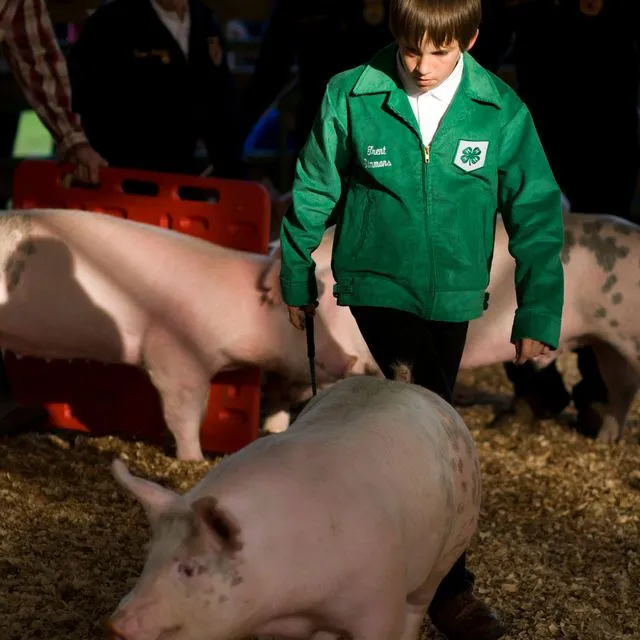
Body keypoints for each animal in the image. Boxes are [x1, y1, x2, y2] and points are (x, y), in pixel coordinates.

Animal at [109, 364, 480, 640]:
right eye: (149, 556)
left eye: (188, 568)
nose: (115, 624)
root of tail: (403, 384)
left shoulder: (381, 602)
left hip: (449, 548)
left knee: (419, 604)